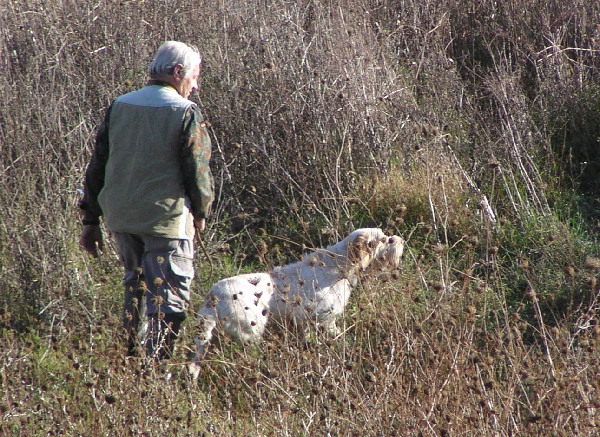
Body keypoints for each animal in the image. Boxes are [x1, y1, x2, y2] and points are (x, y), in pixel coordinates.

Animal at [188, 228, 404, 378]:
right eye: (383, 240)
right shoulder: (314, 318)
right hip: (251, 332)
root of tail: (213, 296)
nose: (400, 240)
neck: (338, 268)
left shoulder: (327, 321)